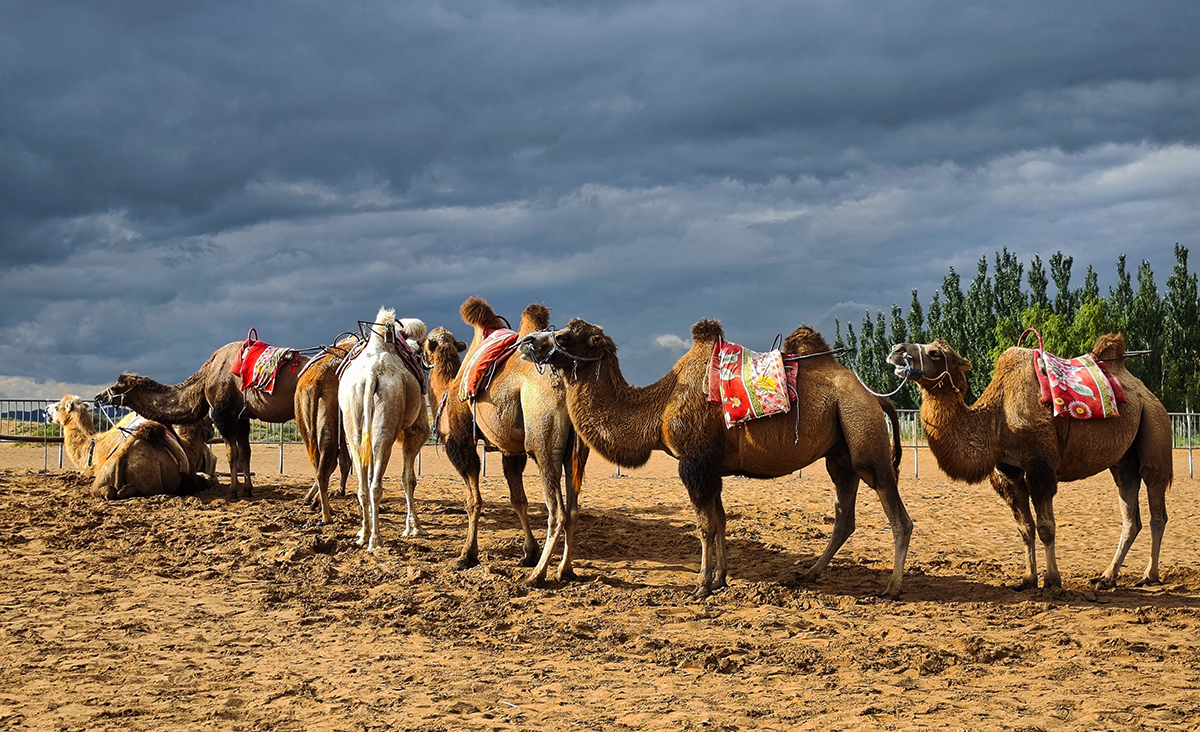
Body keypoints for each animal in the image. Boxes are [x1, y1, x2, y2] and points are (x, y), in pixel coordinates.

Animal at [95, 337, 309, 498]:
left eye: (117, 385)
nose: (99, 397)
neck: (206, 375)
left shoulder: (223, 414)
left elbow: (232, 453)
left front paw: (233, 492)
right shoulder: (242, 416)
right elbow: (245, 453)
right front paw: (247, 490)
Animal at [339, 307, 429, 551]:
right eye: (418, 353)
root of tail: (371, 375)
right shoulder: (415, 432)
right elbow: (409, 479)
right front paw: (414, 528)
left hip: (353, 423)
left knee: (364, 485)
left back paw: (364, 535)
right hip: (386, 424)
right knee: (376, 484)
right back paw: (376, 540)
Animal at [423, 297, 588, 585]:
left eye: (423, 345)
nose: (419, 356)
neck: (448, 389)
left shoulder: (461, 442)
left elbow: (473, 501)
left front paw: (467, 555)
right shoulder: (511, 449)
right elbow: (517, 499)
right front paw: (529, 553)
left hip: (543, 441)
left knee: (557, 511)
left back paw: (538, 575)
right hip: (575, 450)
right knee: (573, 509)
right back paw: (564, 570)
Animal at [518, 318, 912, 599]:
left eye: (565, 336)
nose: (529, 343)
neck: (659, 408)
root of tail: (876, 397)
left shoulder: (693, 464)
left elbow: (705, 526)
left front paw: (701, 586)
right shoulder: (713, 469)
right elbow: (721, 521)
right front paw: (721, 579)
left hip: (863, 437)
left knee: (898, 516)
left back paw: (891, 588)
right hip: (840, 454)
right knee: (844, 515)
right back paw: (809, 574)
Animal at [888, 334, 1172, 590]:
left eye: (935, 353)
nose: (896, 350)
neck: (997, 417)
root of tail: (1146, 393)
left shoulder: (1040, 465)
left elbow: (1046, 527)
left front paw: (1052, 580)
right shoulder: (1008, 472)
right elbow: (1025, 528)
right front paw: (1027, 579)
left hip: (1155, 425)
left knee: (1156, 506)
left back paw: (1149, 576)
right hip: (1123, 461)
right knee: (1131, 515)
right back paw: (1106, 578)